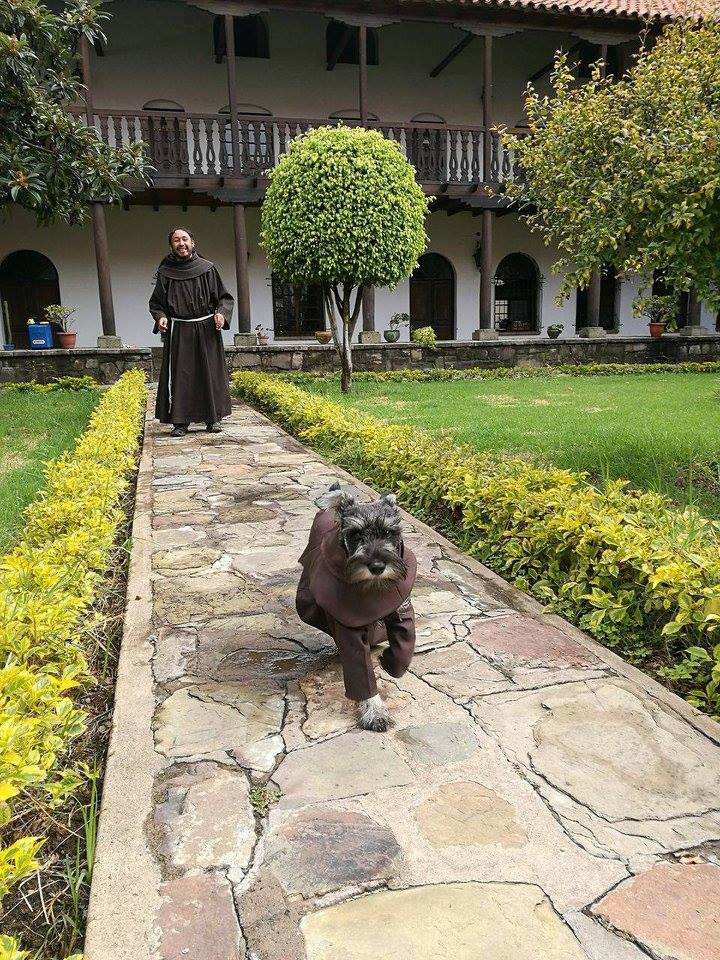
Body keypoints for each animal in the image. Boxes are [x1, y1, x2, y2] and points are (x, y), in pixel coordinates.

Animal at [294, 484, 416, 732]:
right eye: (356, 535)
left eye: (389, 533)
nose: (377, 566)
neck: (374, 589)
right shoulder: (347, 623)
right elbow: (360, 670)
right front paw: (374, 712)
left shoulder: (402, 611)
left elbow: (404, 650)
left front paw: (389, 661)